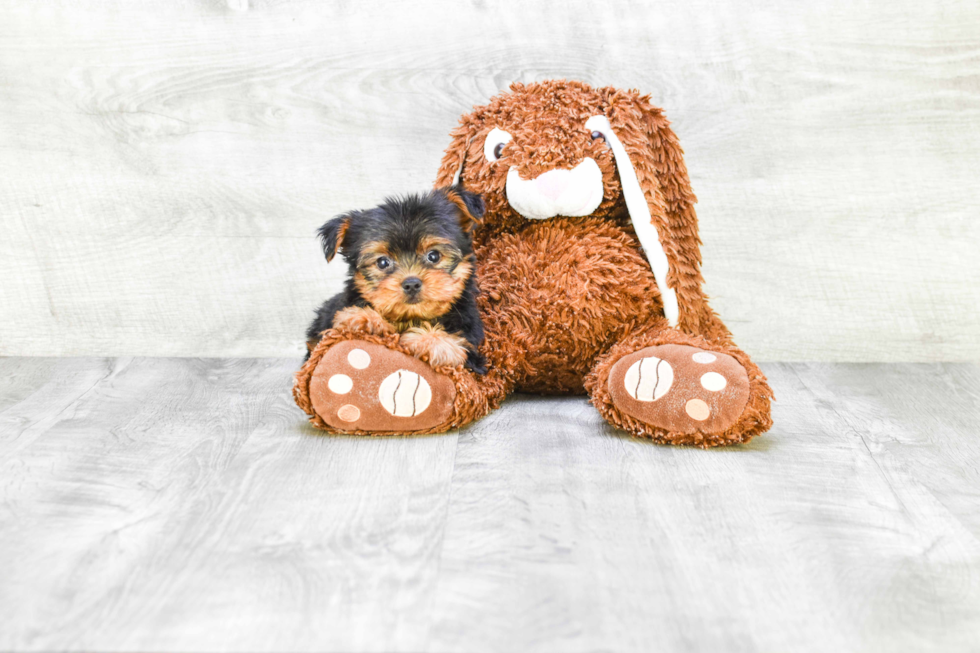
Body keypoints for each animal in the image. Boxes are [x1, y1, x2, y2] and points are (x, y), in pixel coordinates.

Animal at [306, 186, 486, 374]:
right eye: (382, 262)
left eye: (434, 256)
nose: (411, 284)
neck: (411, 317)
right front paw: (365, 318)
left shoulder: (473, 353)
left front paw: (434, 342)